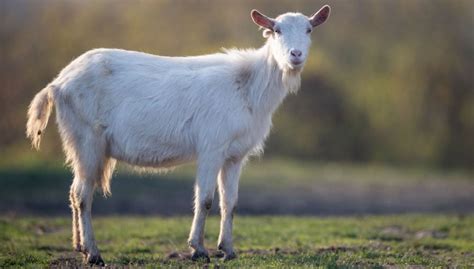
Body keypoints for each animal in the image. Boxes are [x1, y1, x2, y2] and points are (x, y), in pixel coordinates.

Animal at [25, 5, 330, 264]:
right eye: (276, 29)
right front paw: (198, 250)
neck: (248, 86)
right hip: (86, 138)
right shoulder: (211, 147)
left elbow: (230, 203)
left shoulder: (235, 155)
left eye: (309, 30)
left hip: (79, 143)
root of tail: (57, 83)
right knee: (82, 194)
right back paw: (93, 254)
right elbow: (205, 199)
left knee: (74, 191)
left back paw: (79, 246)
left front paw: (228, 250)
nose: (295, 55)